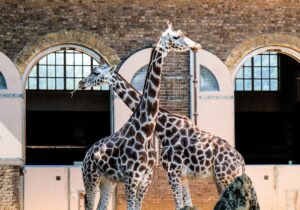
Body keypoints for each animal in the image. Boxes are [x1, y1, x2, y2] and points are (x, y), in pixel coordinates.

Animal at [78, 46, 246, 210]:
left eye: (96, 72)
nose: (81, 82)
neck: (163, 127)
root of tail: (241, 162)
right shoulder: (181, 175)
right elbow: (187, 203)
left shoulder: (172, 171)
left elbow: (179, 204)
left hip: (224, 177)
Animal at [79, 23, 202, 210]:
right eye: (176, 37)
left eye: (96, 72)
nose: (81, 82)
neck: (149, 128)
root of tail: (87, 154)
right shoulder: (134, 177)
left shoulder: (150, 177)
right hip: (92, 178)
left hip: (107, 181)